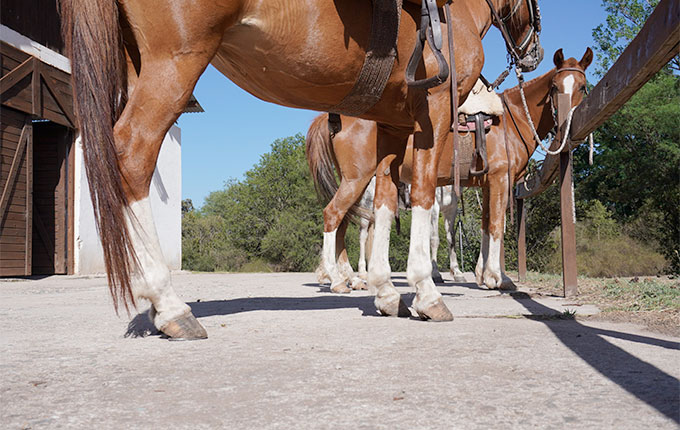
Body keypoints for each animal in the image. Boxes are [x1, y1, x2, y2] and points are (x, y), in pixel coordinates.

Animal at [59, 0, 540, 340]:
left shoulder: (393, 127)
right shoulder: (435, 114)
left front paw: (387, 291)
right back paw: (170, 303)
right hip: (174, 63)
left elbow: (388, 208)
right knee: (131, 155)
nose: (533, 51)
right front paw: (432, 289)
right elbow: (432, 201)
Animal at [306, 48, 592, 294]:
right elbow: (496, 226)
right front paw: (498, 278)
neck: (512, 120)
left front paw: (483, 275)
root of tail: (332, 117)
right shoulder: (500, 179)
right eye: (555, 87)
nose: (566, 120)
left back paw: (351, 278)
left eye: (582, 86)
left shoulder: (485, 186)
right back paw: (337, 279)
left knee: (342, 224)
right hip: (357, 180)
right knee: (333, 216)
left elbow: (485, 225)